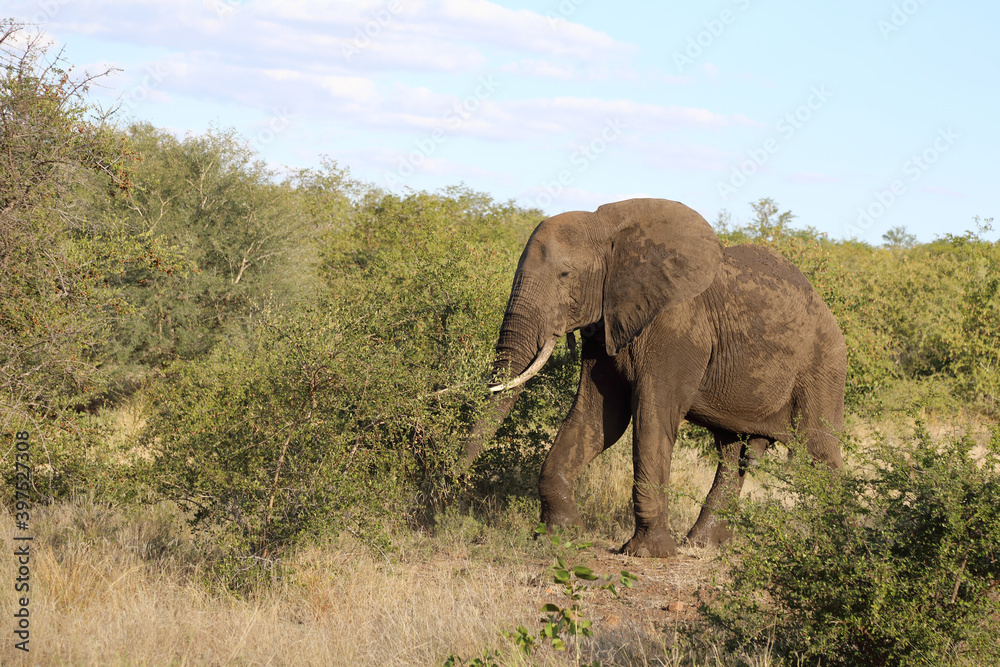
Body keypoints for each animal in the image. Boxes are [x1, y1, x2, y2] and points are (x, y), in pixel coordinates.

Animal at [462, 198, 846, 557]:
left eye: (565, 275)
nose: (453, 477)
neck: (609, 229)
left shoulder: (677, 328)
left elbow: (650, 416)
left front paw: (649, 553)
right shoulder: (607, 324)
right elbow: (598, 419)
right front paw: (562, 536)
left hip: (823, 367)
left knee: (819, 454)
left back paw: (839, 548)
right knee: (731, 453)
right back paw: (704, 546)